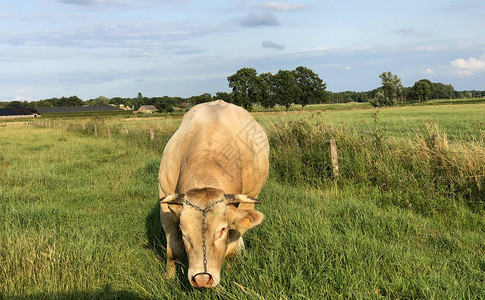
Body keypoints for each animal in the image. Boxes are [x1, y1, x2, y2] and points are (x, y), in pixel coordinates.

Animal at [158, 99, 268, 288]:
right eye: (183, 231)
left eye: (222, 230)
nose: (202, 279)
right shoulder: (165, 205)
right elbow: (173, 252)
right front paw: (168, 279)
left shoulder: (244, 206)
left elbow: (230, 250)